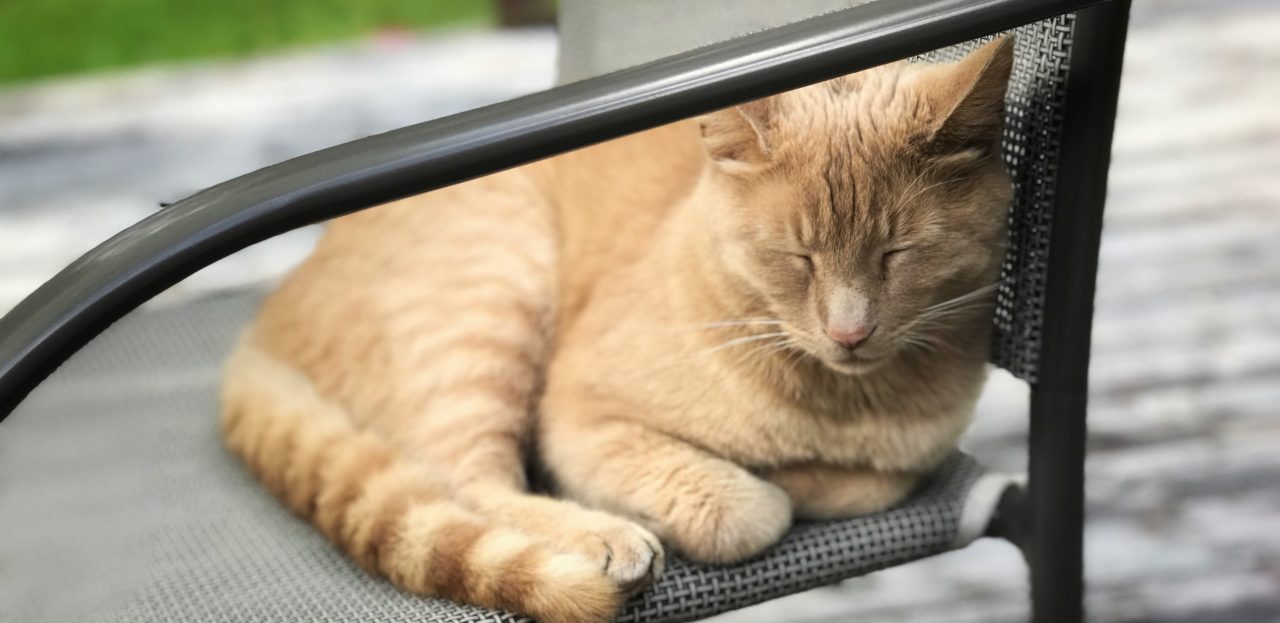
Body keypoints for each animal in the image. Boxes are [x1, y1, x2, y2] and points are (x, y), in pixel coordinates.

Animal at [220, 38, 1014, 623]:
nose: (850, 332)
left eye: (896, 254)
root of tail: (266, 316)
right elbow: (745, 509)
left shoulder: (918, 451)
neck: (840, 405)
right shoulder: (578, 417)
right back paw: (602, 538)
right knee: (459, 480)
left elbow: (874, 481)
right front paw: (767, 486)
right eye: (797, 257)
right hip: (492, 299)